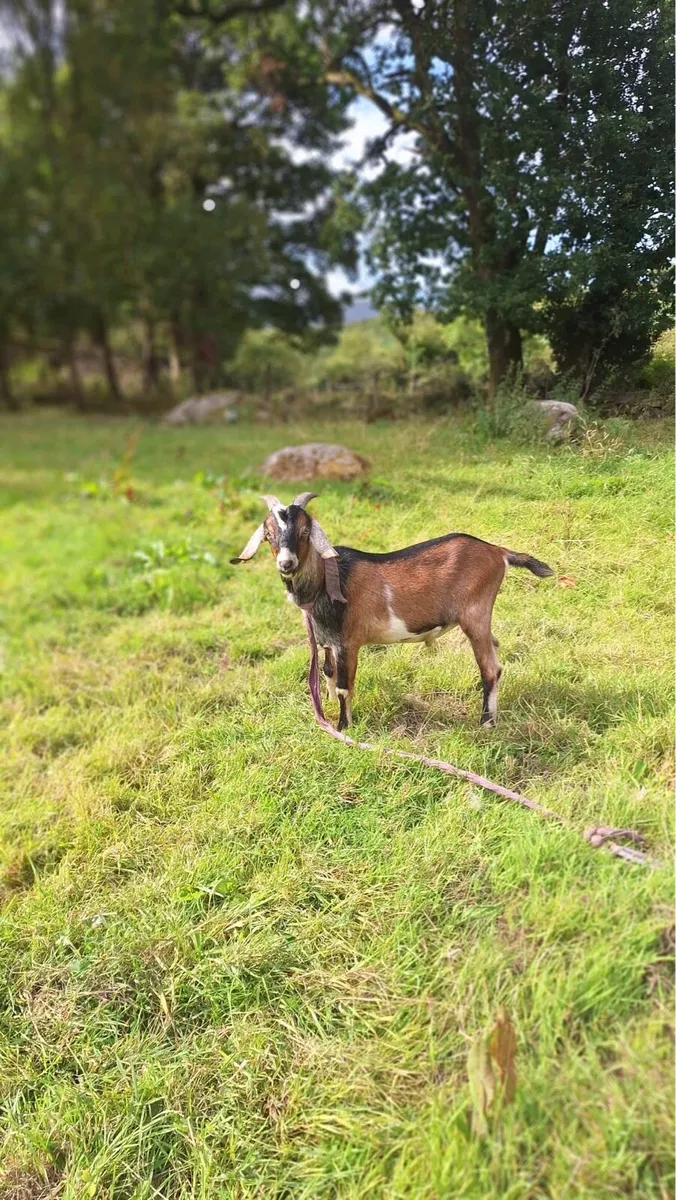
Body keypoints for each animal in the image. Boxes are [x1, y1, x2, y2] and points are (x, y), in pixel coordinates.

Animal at [231, 494, 554, 731]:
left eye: (304, 531)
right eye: (268, 534)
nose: (286, 563)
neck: (327, 580)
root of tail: (498, 552)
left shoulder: (348, 643)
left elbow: (343, 687)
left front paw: (344, 728)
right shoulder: (328, 642)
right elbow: (328, 675)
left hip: (474, 614)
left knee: (490, 667)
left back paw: (486, 722)